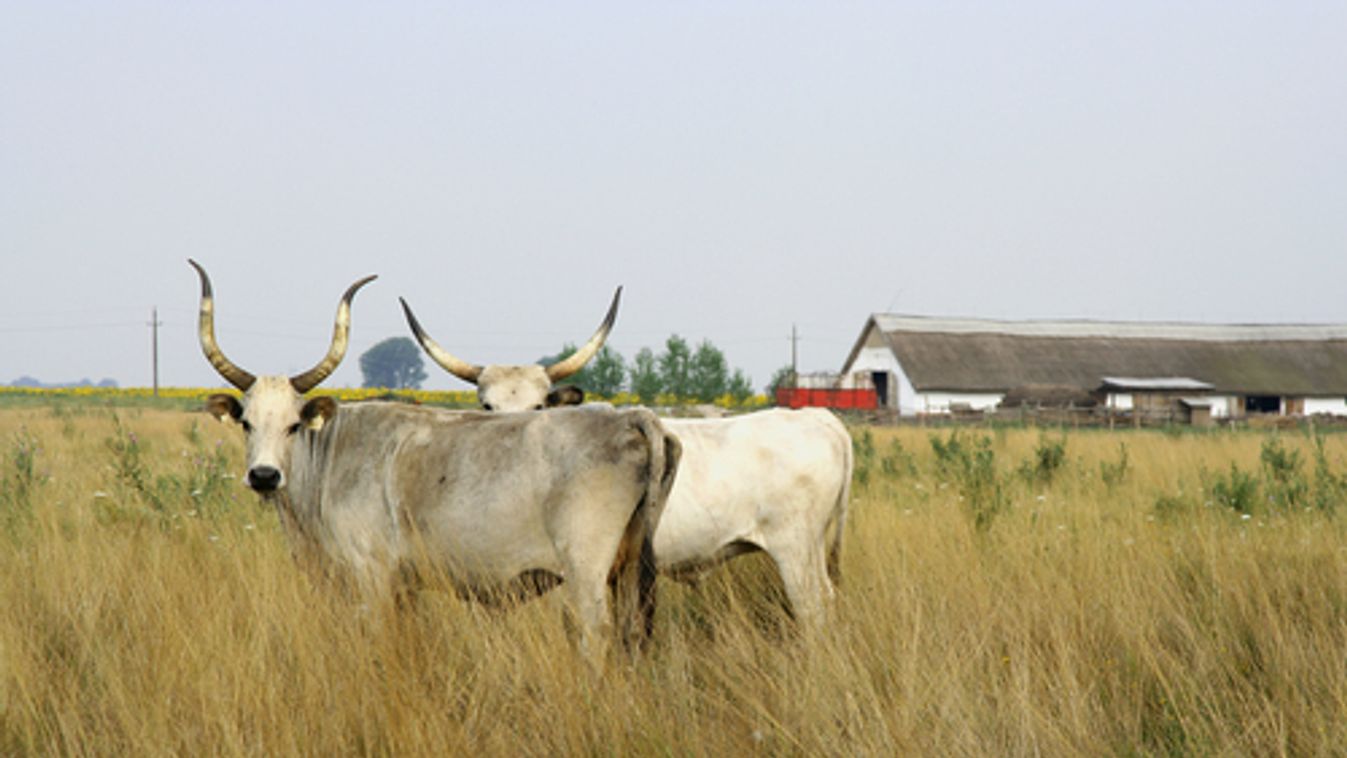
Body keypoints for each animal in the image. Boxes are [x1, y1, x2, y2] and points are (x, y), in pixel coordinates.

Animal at [189, 263, 678, 654]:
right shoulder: (405, 587)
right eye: (247, 422)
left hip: (586, 574)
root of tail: (631, 418)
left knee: (595, 634)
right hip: (628, 573)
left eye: (293, 424)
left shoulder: (371, 578)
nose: (264, 475)